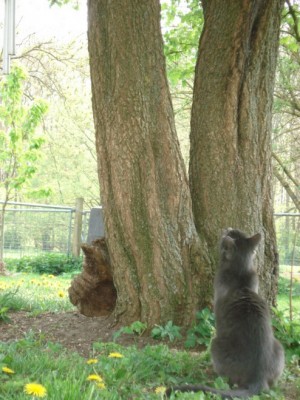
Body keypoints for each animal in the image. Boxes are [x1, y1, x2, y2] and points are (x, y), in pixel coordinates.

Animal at [166, 228, 284, 400]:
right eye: (235, 231)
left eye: (229, 234)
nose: (227, 228)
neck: (240, 271)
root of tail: (257, 378)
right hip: (280, 347)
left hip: (216, 344)